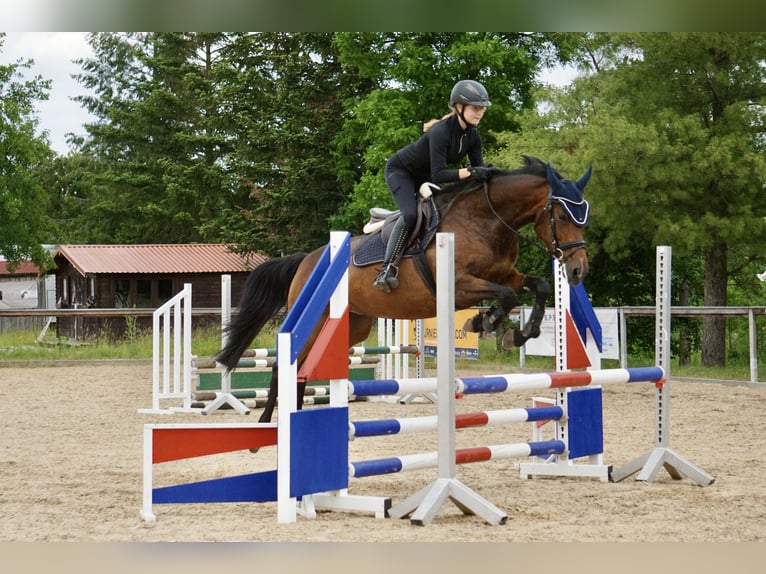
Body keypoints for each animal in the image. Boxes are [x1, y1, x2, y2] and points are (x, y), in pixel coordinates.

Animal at [216, 155, 592, 423]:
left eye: (584, 215)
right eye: (561, 215)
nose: (577, 270)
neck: (486, 218)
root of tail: (307, 259)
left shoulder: (506, 274)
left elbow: (536, 285)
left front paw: (519, 332)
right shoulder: (459, 286)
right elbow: (508, 296)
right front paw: (484, 323)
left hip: (353, 326)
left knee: (302, 369)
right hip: (316, 321)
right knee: (284, 366)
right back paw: (268, 423)